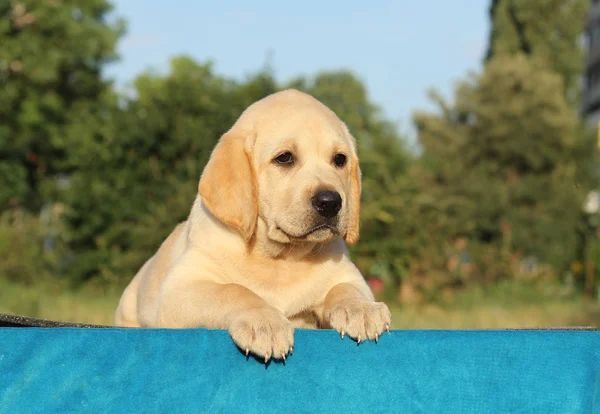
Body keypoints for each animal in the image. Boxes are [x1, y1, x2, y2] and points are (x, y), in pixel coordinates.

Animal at [114, 89, 392, 360]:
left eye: (340, 160)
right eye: (284, 158)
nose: (330, 202)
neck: (280, 258)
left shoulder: (347, 275)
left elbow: (346, 288)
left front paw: (363, 309)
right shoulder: (182, 288)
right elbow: (234, 290)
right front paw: (265, 322)